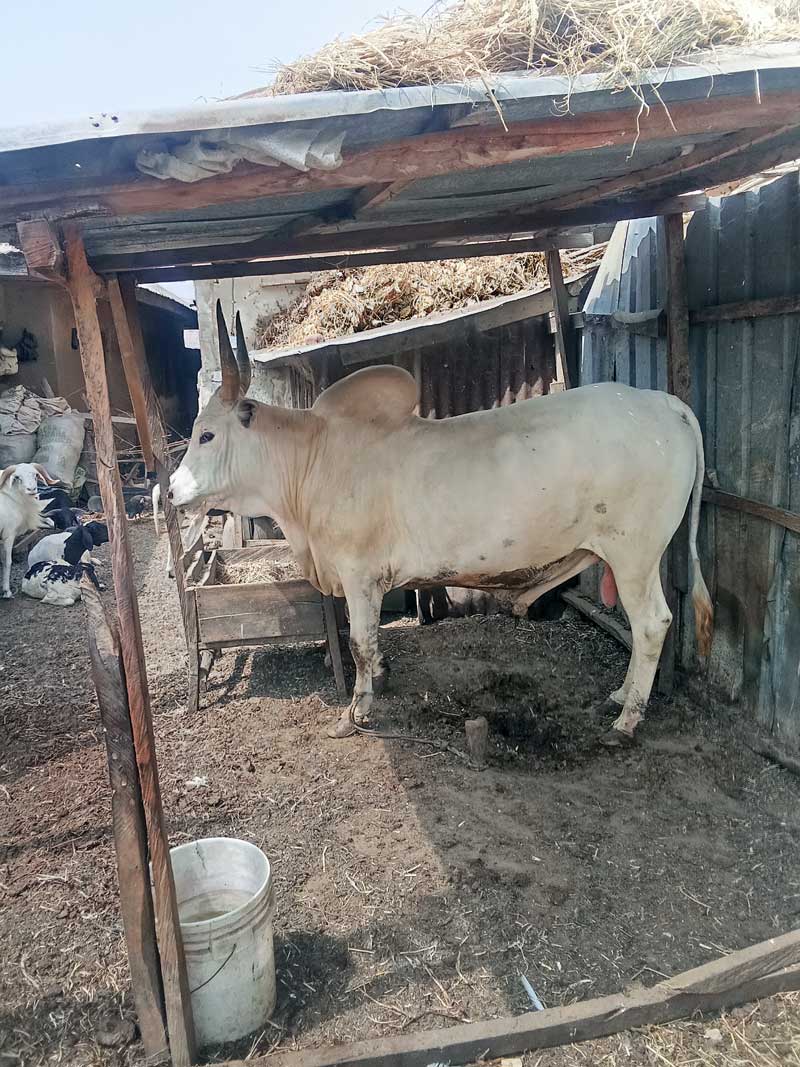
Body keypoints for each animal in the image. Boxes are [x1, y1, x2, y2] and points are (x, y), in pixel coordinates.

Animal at [169, 303, 713, 745]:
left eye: (206, 434)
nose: (171, 490)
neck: (315, 460)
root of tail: (663, 403)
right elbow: (369, 644)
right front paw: (377, 682)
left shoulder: (358, 573)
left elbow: (360, 643)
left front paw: (354, 714)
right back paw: (620, 696)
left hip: (634, 552)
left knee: (652, 624)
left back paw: (626, 722)